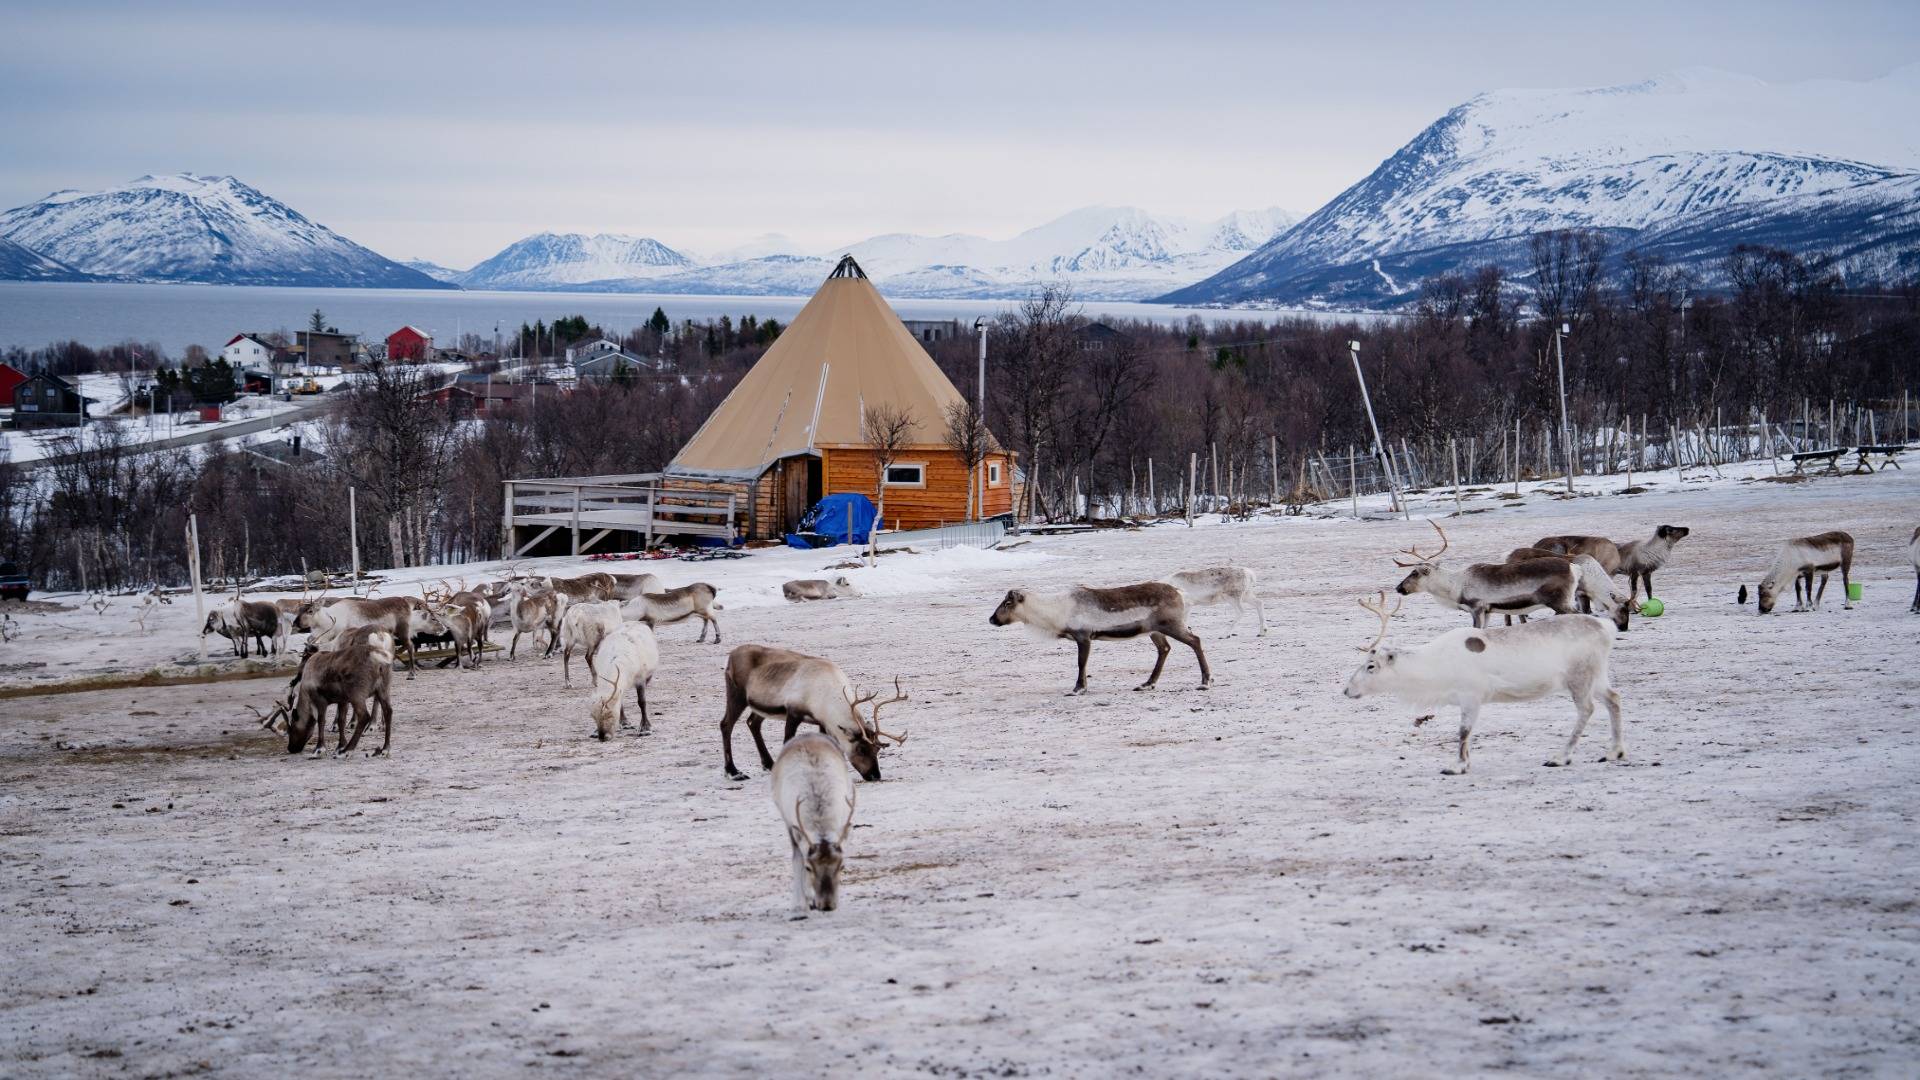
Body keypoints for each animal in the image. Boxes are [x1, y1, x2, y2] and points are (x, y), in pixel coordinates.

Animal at [718, 645, 906, 782]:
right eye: (861, 749)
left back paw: (769, 764)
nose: (875, 776)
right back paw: (733, 772)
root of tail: (731, 656)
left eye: (877, 750)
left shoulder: (821, 722)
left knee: (752, 723)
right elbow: (788, 740)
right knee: (726, 724)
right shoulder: (793, 712)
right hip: (737, 694)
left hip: (759, 706)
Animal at [772, 732, 857, 917]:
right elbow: (797, 859)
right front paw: (799, 905)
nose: (827, 905)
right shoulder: (791, 826)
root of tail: (807, 734)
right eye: (809, 867)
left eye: (842, 866)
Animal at [988, 583, 1211, 695]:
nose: (992, 619)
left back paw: (1205, 681)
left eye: (1008, 603)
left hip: (1171, 625)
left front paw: (1078, 688)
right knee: (1164, 648)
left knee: (1195, 640)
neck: (1054, 613)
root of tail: (1182, 594)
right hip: (1155, 630)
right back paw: (1146, 684)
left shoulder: (1084, 636)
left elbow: (1081, 663)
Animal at [1343, 590, 1625, 775]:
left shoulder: (1471, 694)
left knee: (1587, 709)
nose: (1346, 690)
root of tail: (1606, 628)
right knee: (1614, 698)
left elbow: (1463, 731)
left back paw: (1560, 757)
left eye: (1371, 666)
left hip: (1580, 675)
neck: (1434, 670)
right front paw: (1465, 762)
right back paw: (1614, 751)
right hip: (1598, 675)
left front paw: (1456, 766)